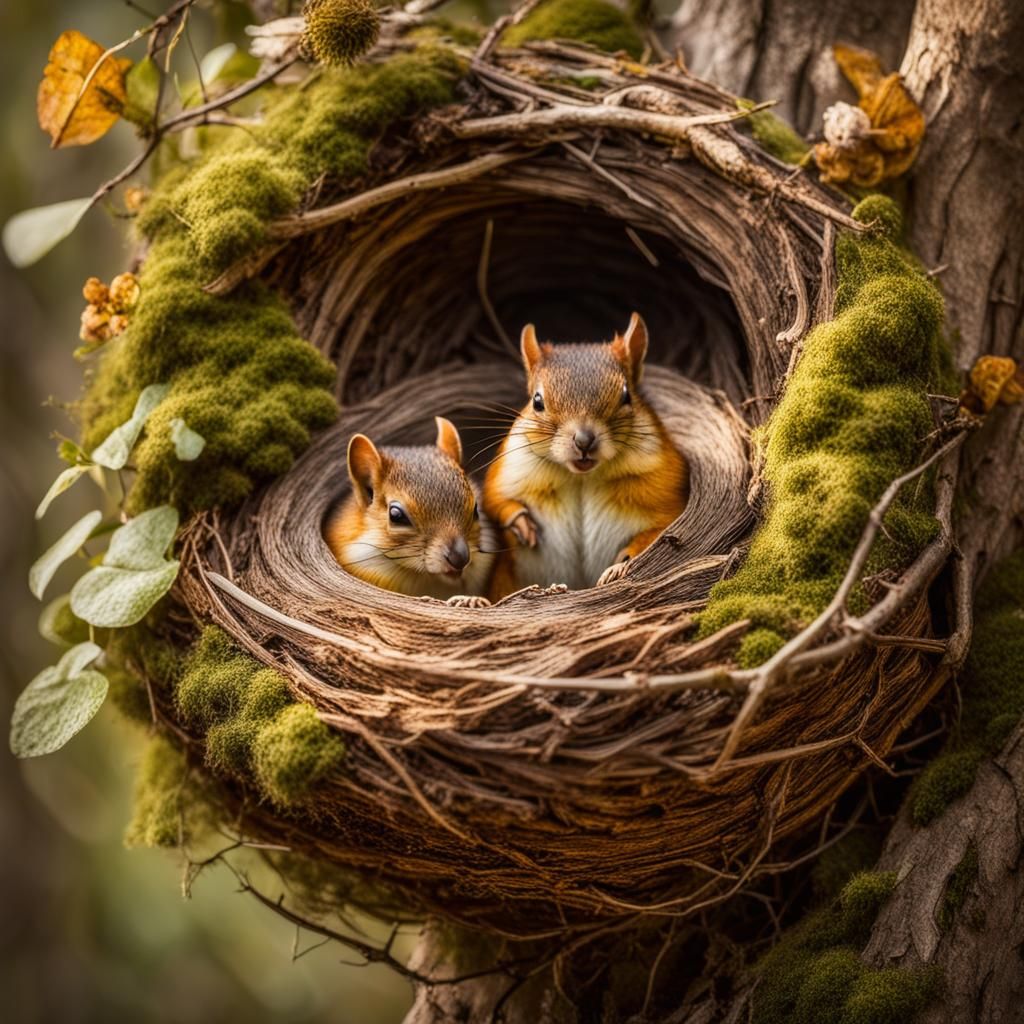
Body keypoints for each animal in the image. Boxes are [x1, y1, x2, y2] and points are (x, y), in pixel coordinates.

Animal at [483, 313, 688, 598]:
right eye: (537, 401)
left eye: (626, 396)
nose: (583, 440)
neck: (582, 477)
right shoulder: (509, 468)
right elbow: (493, 497)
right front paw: (521, 523)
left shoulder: (667, 484)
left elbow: (662, 529)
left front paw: (620, 564)